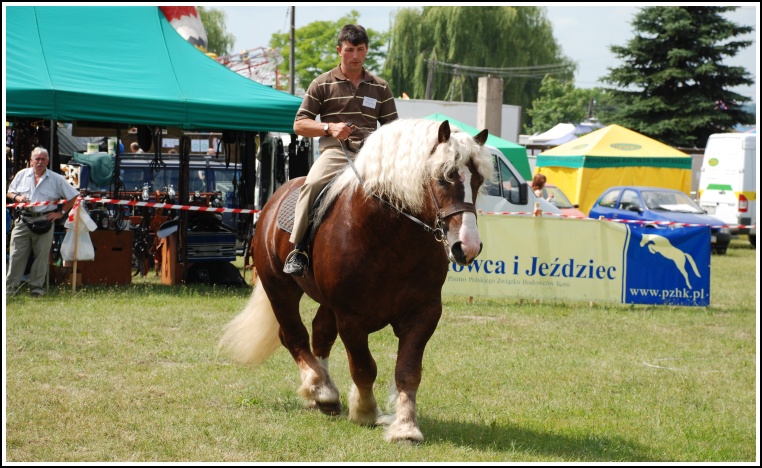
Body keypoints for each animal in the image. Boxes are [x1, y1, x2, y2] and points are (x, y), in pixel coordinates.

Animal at [220, 118, 492, 442]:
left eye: (477, 181)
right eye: (443, 178)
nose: (467, 247)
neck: (389, 237)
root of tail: (274, 200)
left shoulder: (424, 314)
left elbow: (408, 371)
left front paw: (406, 426)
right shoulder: (350, 317)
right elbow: (364, 368)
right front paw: (365, 410)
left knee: (320, 334)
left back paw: (323, 390)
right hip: (280, 289)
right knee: (294, 336)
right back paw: (320, 388)